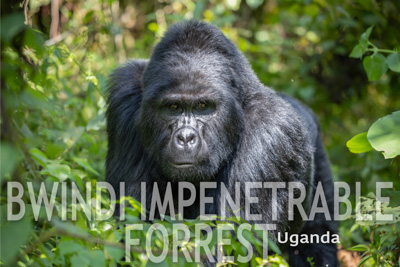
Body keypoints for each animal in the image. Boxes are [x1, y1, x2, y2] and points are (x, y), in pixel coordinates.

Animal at [106, 19, 338, 266]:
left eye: (202, 106)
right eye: (173, 107)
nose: (185, 138)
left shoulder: (271, 131)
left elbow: (226, 248)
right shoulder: (124, 97)